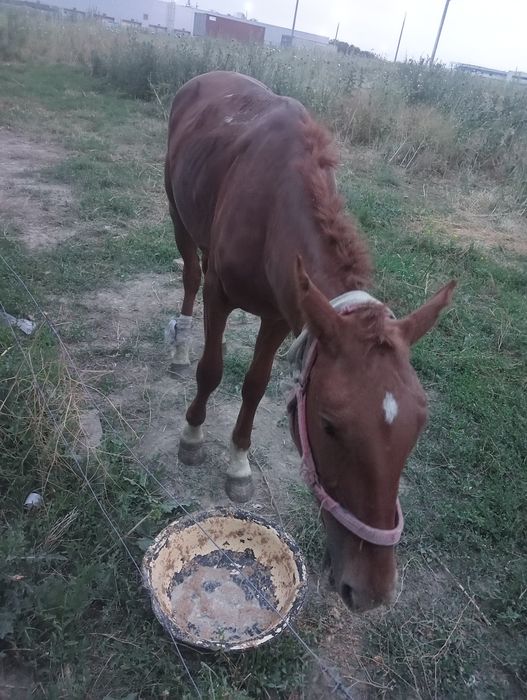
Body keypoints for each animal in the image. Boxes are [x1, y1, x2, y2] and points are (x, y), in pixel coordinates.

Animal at [164, 71, 455, 611]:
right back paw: (177, 348)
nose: (372, 590)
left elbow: (255, 384)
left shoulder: (283, 314)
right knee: (190, 275)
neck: (273, 206)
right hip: (177, 213)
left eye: (418, 425)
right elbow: (212, 369)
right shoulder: (221, 295)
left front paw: (239, 463)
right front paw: (192, 436)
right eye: (329, 425)